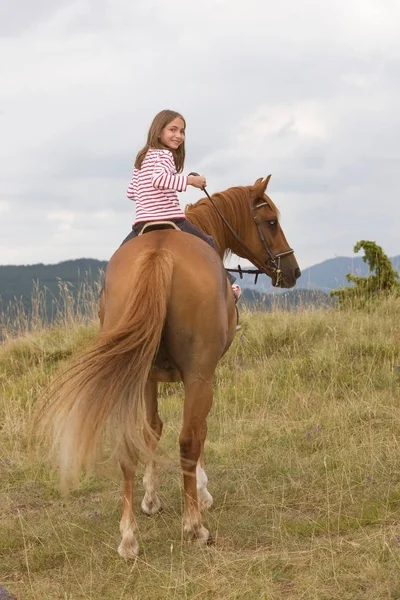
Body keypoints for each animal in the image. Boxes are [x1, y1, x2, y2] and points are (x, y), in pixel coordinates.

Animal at [39, 173, 300, 556]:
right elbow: (198, 433)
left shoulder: (148, 379)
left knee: (128, 443)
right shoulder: (204, 376)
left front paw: (150, 499)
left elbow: (152, 429)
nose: (292, 271)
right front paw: (201, 492)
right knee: (189, 440)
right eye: (270, 222)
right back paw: (194, 526)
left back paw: (128, 537)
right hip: (198, 377)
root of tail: (159, 253)